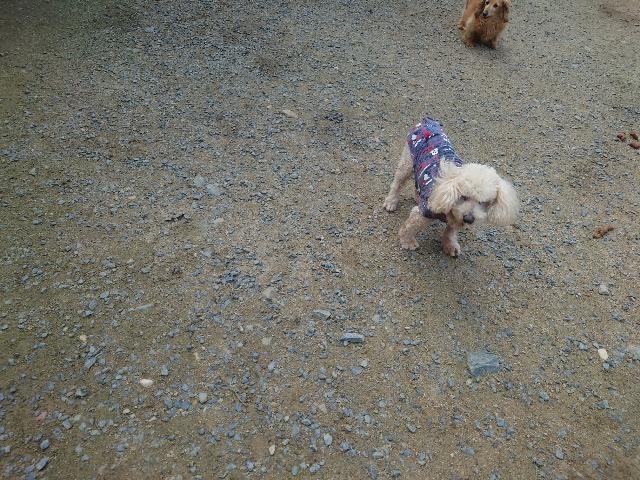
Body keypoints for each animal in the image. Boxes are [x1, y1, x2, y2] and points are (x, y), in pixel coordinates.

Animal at [383, 116, 518, 257]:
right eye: (463, 196)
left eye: (484, 202)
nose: (469, 219)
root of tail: (428, 121)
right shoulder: (423, 213)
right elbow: (409, 226)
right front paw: (408, 241)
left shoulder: (457, 218)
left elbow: (450, 231)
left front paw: (449, 245)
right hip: (407, 162)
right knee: (397, 183)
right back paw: (391, 202)